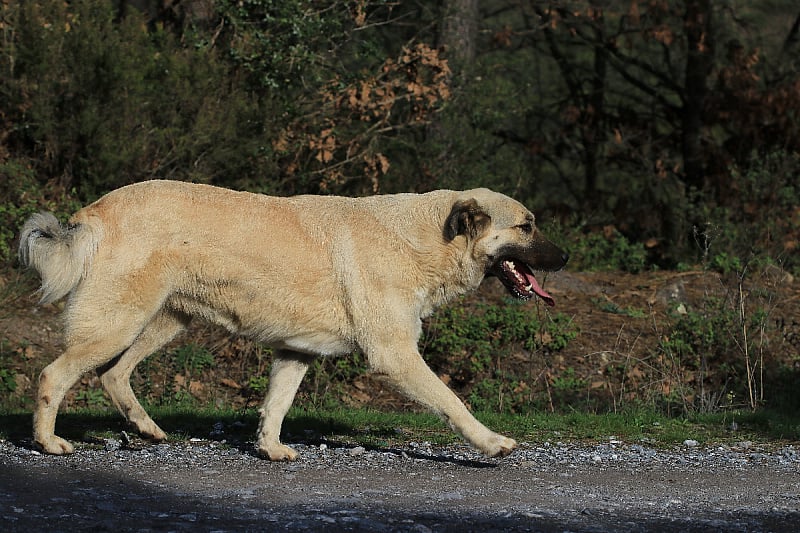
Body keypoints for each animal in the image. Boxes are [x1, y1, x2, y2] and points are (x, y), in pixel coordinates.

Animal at [20, 181, 568, 460]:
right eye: (527, 226)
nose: (564, 258)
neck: (425, 238)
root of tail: (93, 211)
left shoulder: (295, 352)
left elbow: (276, 406)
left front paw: (270, 449)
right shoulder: (395, 355)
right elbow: (453, 402)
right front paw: (491, 442)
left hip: (161, 322)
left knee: (114, 374)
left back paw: (147, 429)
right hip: (120, 322)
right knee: (53, 375)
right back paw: (49, 443)